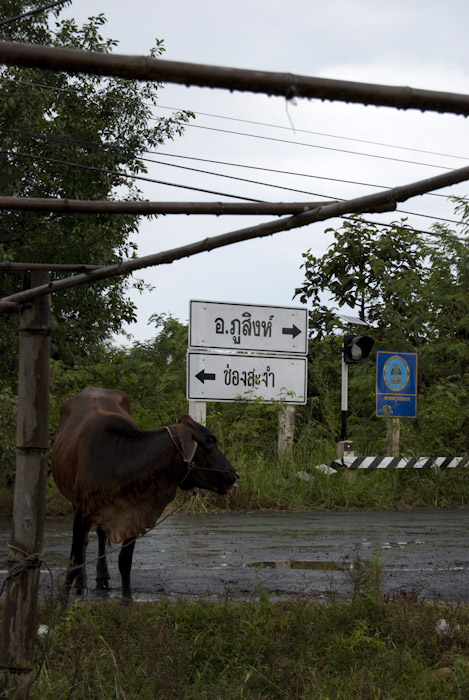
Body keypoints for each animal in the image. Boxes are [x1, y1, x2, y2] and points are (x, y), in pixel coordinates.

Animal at [53, 386, 239, 600]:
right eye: (209, 443)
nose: (235, 475)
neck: (119, 459)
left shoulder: (133, 512)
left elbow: (125, 561)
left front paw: (127, 601)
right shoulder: (82, 512)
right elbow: (75, 560)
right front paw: (62, 600)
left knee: (100, 534)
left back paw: (102, 577)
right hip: (76, 503)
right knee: (84, 545)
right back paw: (82, 583)